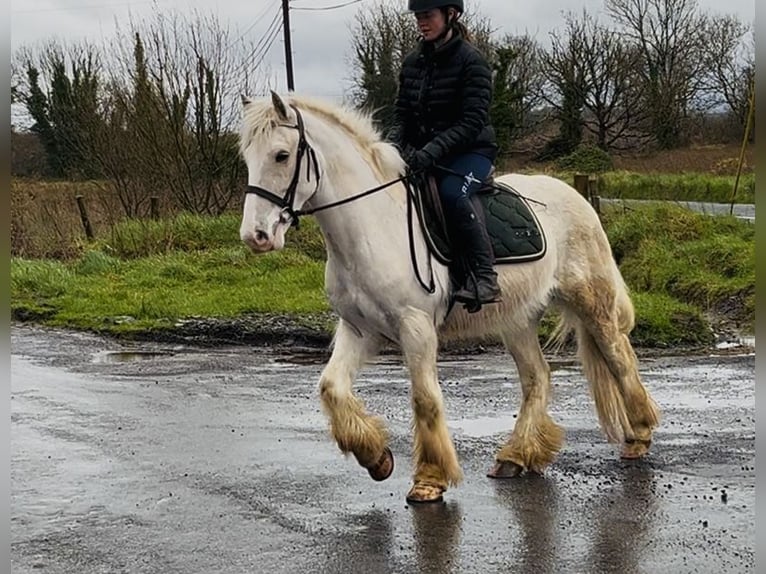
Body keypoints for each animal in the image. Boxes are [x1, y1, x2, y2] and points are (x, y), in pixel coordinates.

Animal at [238, 91, 660, 504]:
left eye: (281, 155)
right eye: (247, 157)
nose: (256, 236)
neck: (373, 227)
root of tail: (576, 195)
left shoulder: (416, 328)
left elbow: (425, 399)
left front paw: (430, 479)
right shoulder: (360, 329)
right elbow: (332, 388)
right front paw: (376, 457)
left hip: (591, 303)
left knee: (619, 358)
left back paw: (638, 435)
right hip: (518, 318)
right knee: (537, 377)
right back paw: (516, 456)